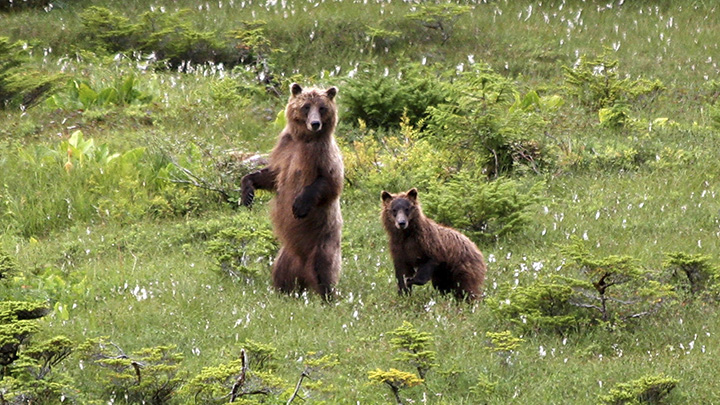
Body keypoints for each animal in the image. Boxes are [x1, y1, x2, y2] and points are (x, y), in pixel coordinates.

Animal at [242, 83, 344, 298]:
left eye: (322, 107)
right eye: (306, 106)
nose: (315, 123)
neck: (304, 139)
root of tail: (303, 272)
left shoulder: (323, 154)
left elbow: (330, 182)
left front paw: (299, 205)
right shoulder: (285, 148)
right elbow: (272, 176)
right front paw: (247, 191)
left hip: (322, 243)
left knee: (324, 269)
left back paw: (327, 295)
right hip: (286, 255)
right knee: (281, 272)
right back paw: (283, 291)